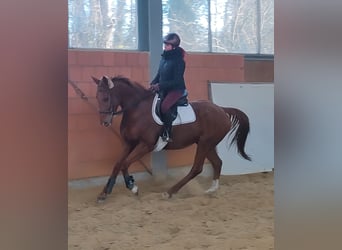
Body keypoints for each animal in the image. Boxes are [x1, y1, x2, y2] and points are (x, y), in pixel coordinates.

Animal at [91, 75, 251, 202]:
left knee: (197, 168)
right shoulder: (128, 143)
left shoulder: (146, 145)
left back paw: (169, 192)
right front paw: (104, 193)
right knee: (217, 163)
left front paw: (133, 187)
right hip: (207, 144)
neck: (137, 110)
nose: (105, 122)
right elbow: (117, 164)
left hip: (205, 144)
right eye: (97, 98)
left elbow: (125, 163)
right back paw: (212, 190)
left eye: (106, 98)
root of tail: (221, 109)